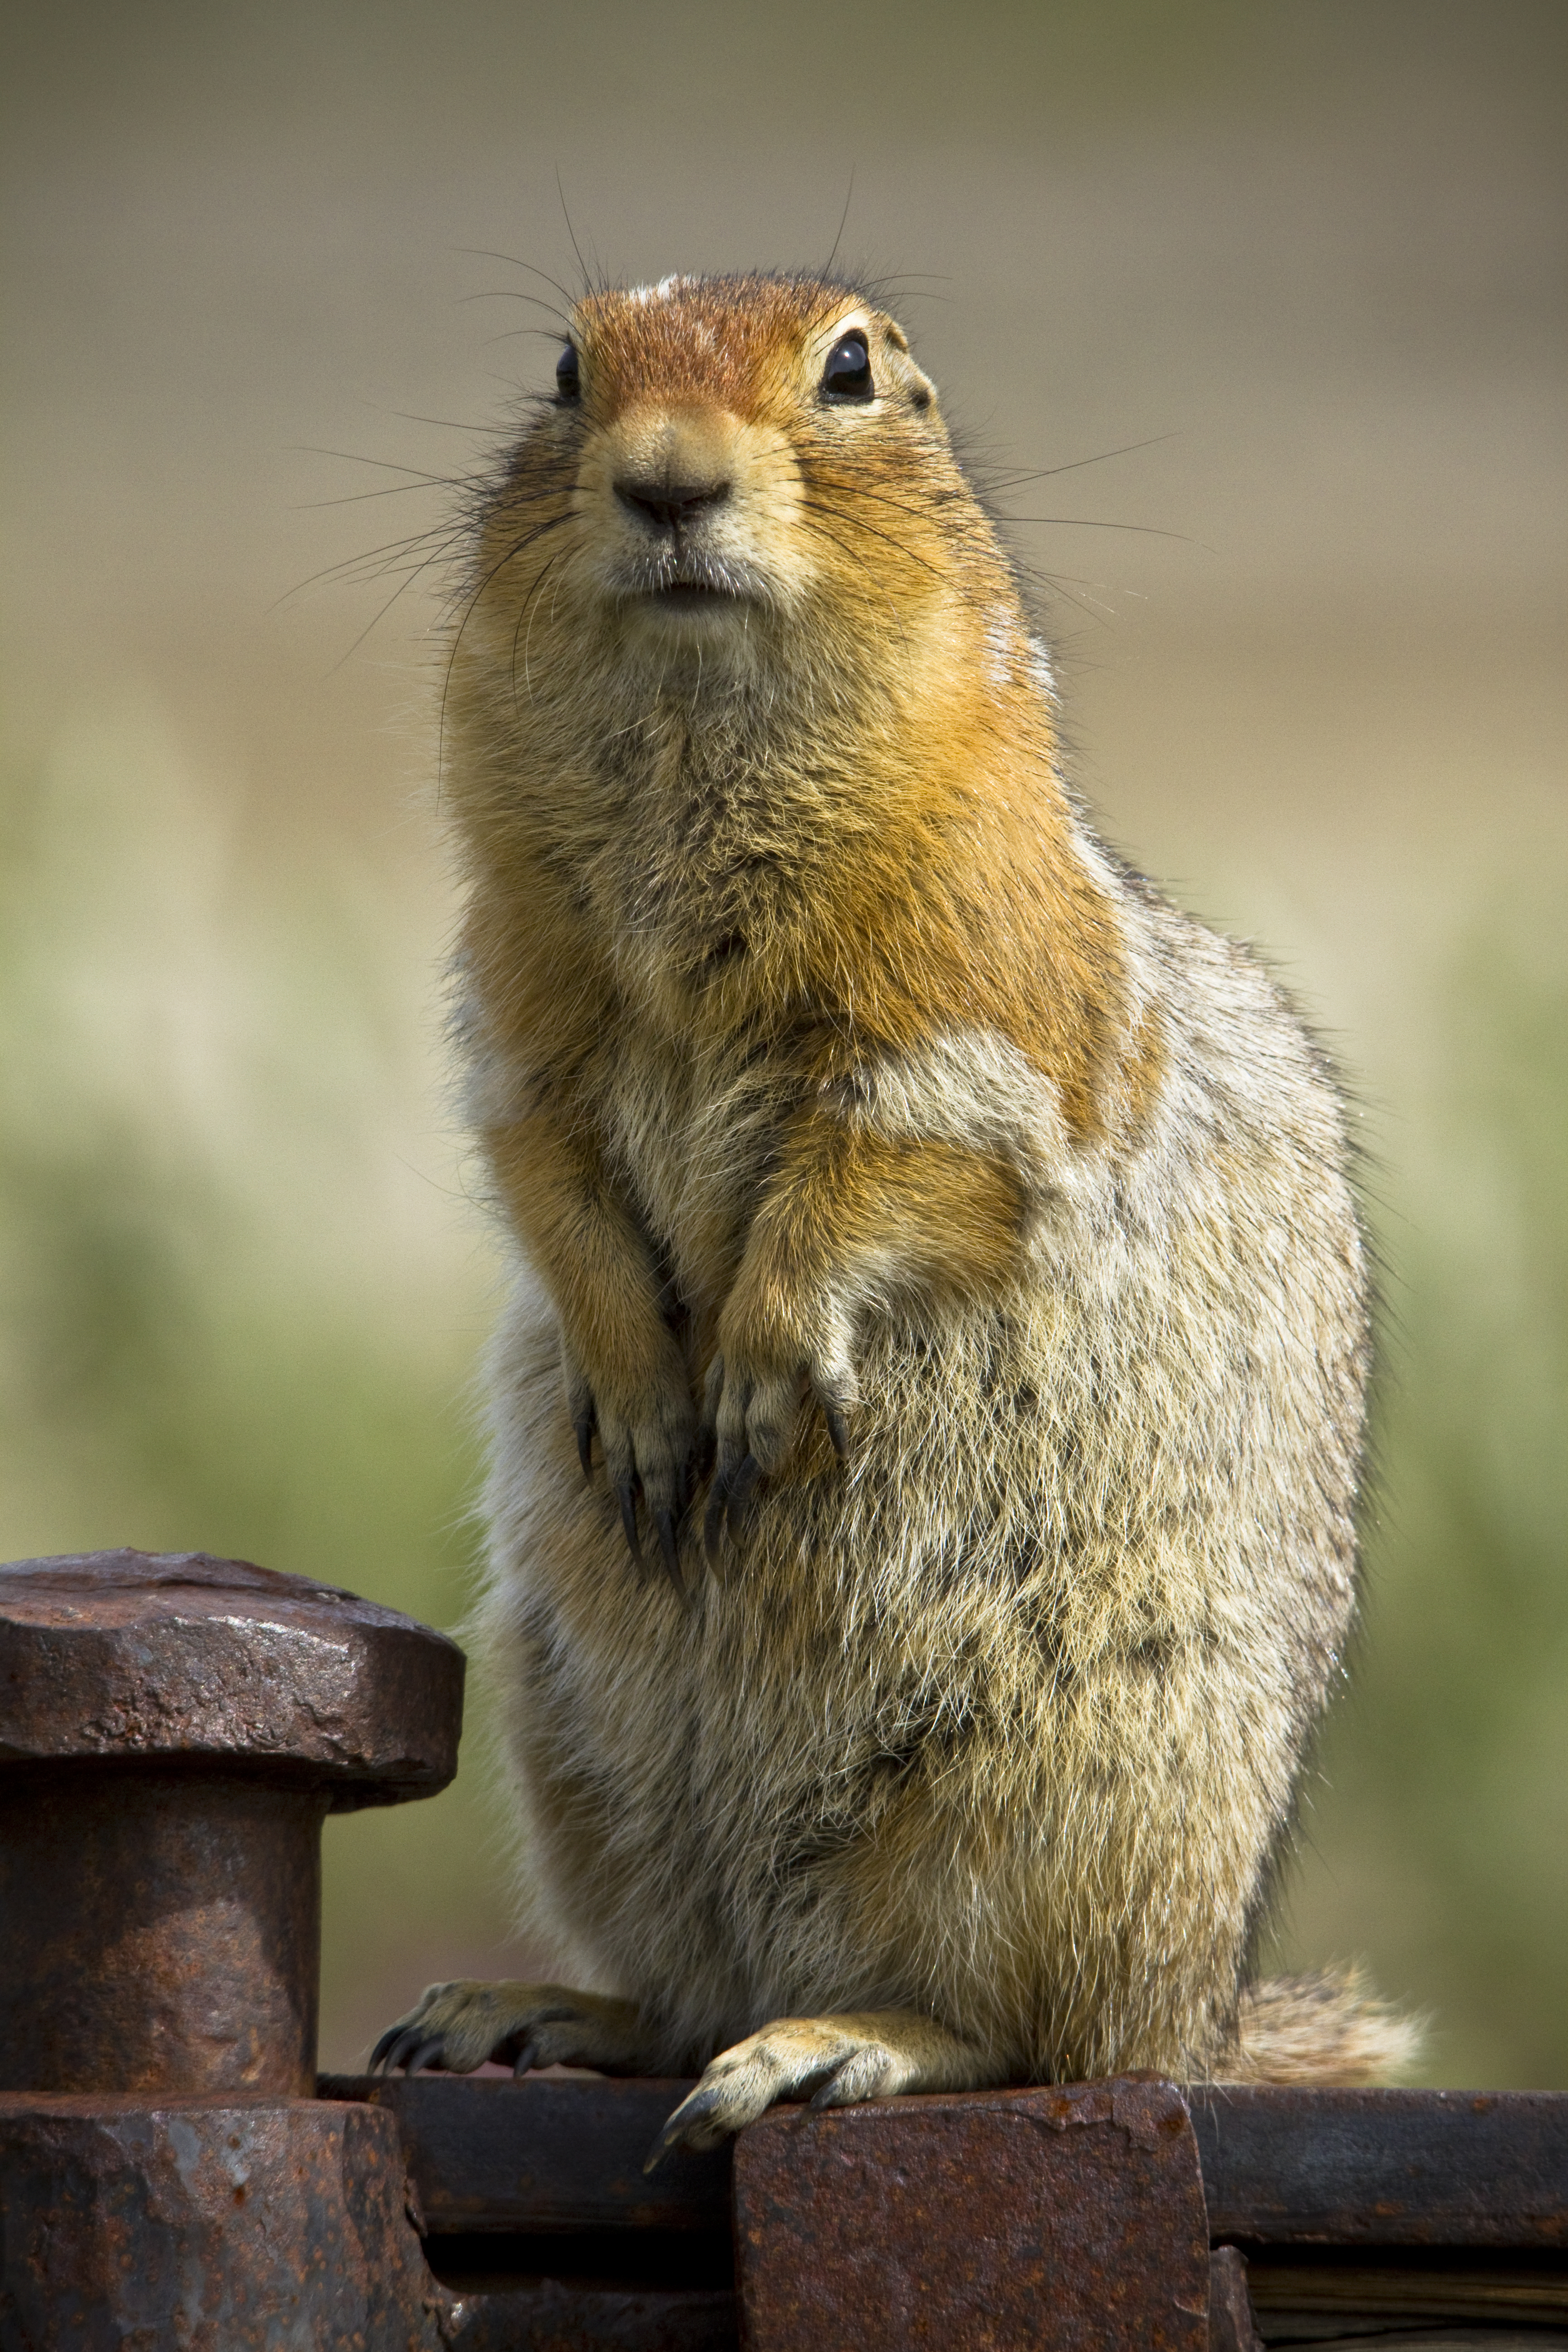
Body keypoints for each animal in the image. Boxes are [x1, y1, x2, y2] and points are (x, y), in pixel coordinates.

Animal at [371, 270, 1420, 2154]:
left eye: (850, 368)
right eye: (566, 370)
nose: (665, 478)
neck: (693, 778)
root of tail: (1205, 2013)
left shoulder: (968, 996)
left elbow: (886, 1167)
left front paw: (753, 1380)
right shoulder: (519, 1004)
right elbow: (543, 1168)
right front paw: (641, 1403)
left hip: (1058, 1798)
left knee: (1031, 2037)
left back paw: (834, 2041)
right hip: (577, 1757)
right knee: (686, 1987)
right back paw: (530, 2008)